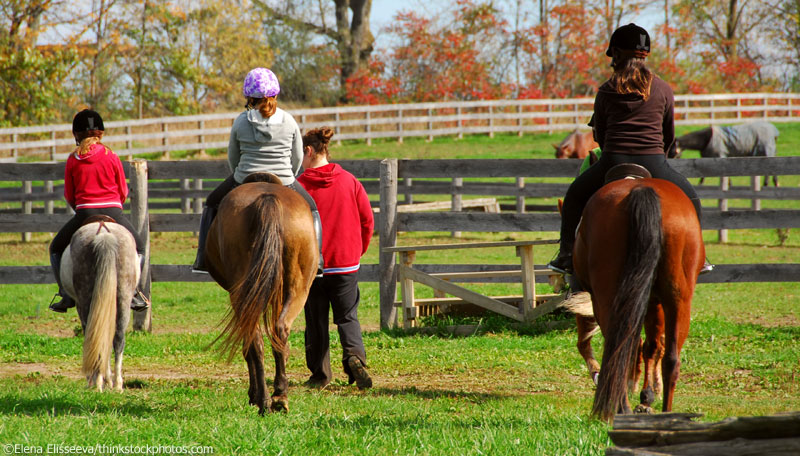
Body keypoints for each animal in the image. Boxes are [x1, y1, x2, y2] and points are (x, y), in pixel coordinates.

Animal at [206, 173, 318, 416]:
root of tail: (268, 197)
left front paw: (253, 395)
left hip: (242, 295)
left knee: (254, 339)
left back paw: (264, 400)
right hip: (298, 289)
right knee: (279, 330)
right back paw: (279, 396)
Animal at [572, 176, 704, 422]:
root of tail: (641, 188)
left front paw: (644, 397)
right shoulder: (654, 303)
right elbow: (650, 346)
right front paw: (646, 397)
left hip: (610, 298)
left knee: (622, 348)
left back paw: (623, 407)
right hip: (678, 300)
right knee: (670, 358)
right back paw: (665, 414)